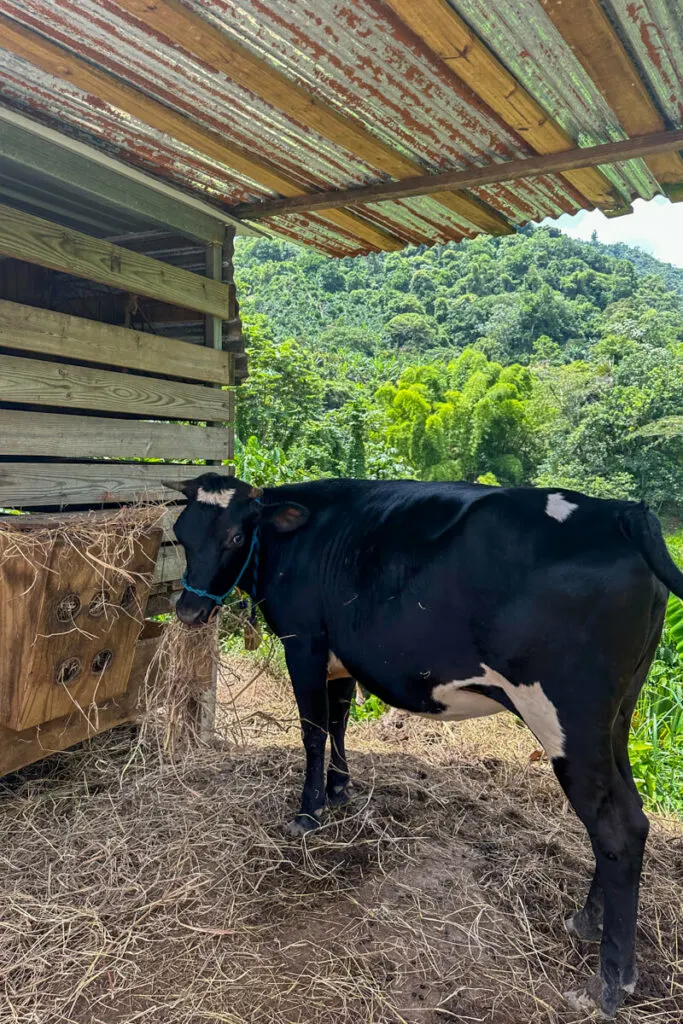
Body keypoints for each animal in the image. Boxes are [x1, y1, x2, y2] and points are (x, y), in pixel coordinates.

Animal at [166, 471, 683, 1015]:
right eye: (181, 533)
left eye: (234, 537)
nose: (189, 610)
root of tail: (621, 512)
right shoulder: (340, 655)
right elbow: (340, 720)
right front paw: (339, 789)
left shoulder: (304, 643)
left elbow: (314, 730)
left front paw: (308, 812)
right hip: (618, 715)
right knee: (632, 814)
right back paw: (586, 922)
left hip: (567, 718)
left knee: (615, 828)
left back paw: (609, 983)